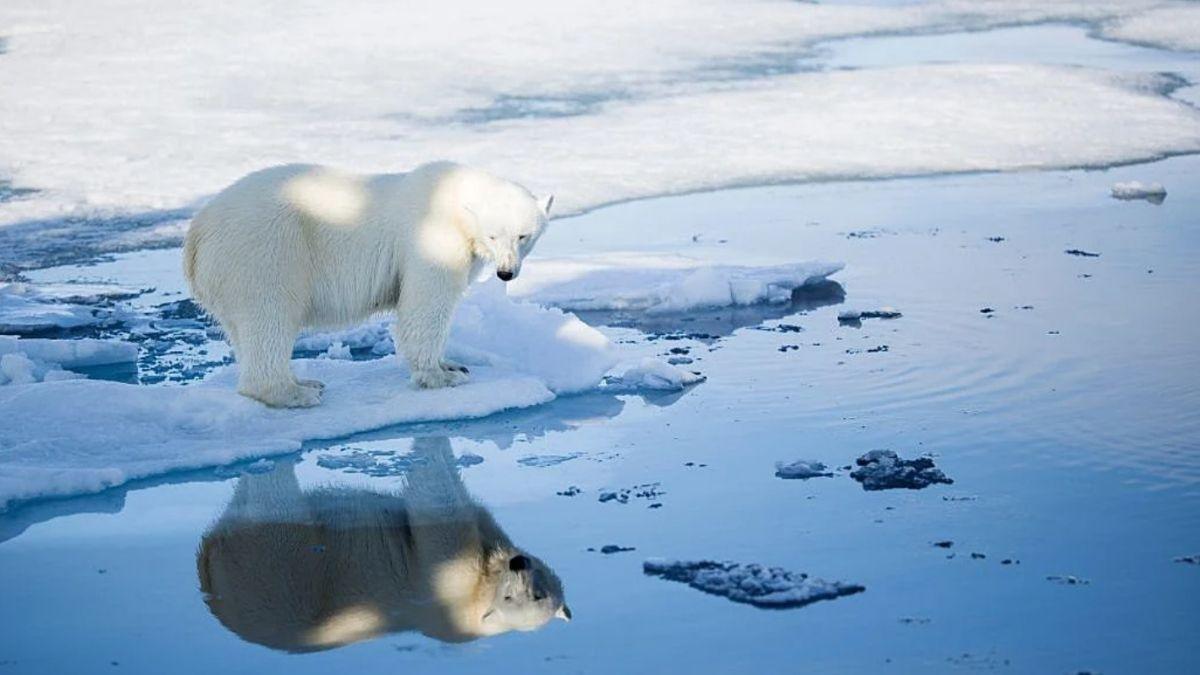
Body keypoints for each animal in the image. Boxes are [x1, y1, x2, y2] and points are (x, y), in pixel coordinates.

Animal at [183, 162, 553, 407]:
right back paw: (296, 392)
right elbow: (426, 304)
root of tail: (198, 232)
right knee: (269, 316)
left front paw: (452, 363)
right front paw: (441, 375)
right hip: (264, 251)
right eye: (493, 235)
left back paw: (303, 380)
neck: (453, 198)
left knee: (244, 330)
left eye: (523, 235)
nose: (505, 272)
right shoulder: (432, 238)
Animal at [197, 436, 570, 650]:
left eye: (533, 595)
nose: (518, 563)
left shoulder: (451, 578)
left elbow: (434, 502)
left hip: (278, 564)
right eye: (515, 593)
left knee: (271, 503)